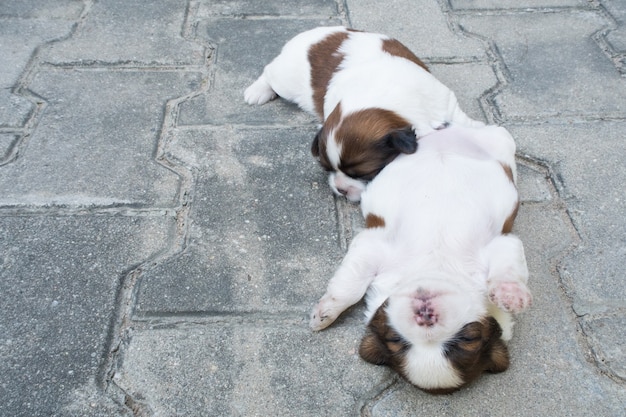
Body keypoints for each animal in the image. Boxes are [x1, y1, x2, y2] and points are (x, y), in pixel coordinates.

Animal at [310, 124, 528, 394]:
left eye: (468, 338)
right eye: (395, 339)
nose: (425, 318)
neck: (435, 265)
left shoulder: (502, 243)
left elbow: (507, 271)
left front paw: (510, 295)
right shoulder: (373, 246)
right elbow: (350, 288)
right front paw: (325, 313)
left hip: (501, 143)